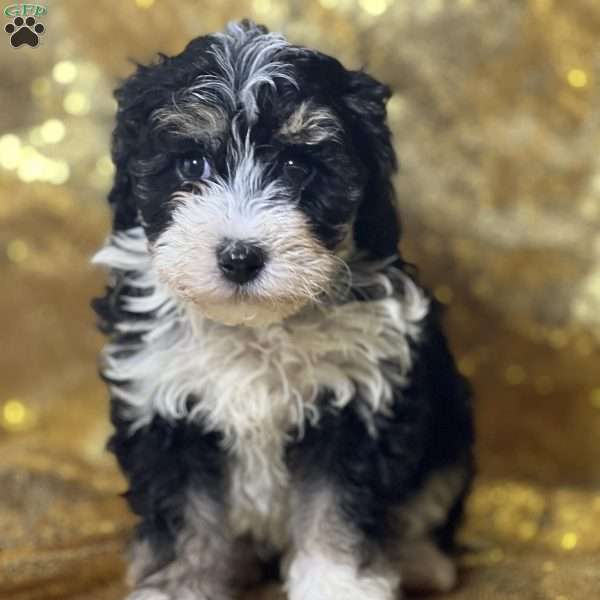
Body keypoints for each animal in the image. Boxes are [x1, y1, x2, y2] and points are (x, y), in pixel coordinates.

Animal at [92, 18, 474, 600]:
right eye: (192, 163)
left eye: (297, 166)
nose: (240, 257)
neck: (257, 325)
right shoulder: (162, 404)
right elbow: (184, 518)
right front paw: (179, 583)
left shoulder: (355, 403)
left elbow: (335, 509)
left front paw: (340, 584)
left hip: (450, 432)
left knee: (428, 499)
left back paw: (421, 561)